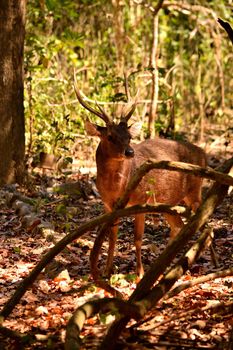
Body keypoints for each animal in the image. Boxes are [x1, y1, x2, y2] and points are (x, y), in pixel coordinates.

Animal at [73, 75, 207, 278]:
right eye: (110, 136)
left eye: (129, 136)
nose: (129, 152)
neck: (117, 189)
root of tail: (204, 154)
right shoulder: (108, 205)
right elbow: (112, 236)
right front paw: (107, 270)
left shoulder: (141, 201)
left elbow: (137, 238)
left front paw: (140, 273)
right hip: (169, 201)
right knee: (178, 226)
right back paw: (163, 265)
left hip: (194, 190)